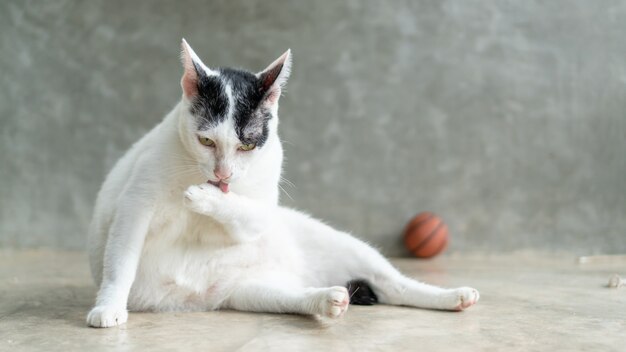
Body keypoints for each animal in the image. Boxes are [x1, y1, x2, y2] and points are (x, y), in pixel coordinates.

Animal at [86, 38, 478, 328]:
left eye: (247, 145)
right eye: (206, 141)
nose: (223, 174)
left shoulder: (258, 213)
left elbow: (246, 212)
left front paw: (205, 198)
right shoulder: (135, 205)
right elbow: (120, 263)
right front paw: (109, 307)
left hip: (344, 245)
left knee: (397, 285)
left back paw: (453, 296)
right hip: (252, 293)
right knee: (303, 299)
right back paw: (327, 299)